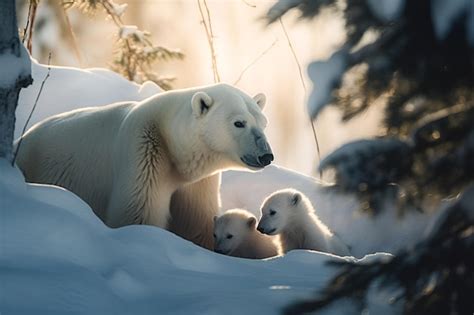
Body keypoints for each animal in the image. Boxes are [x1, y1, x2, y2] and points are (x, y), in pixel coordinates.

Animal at [15, 83, 274, 249]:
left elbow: (195, 220)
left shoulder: (197, 181)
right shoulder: (143, 151)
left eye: (263, 122)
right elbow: (137, 215)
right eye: (239, 123)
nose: (266, 156)